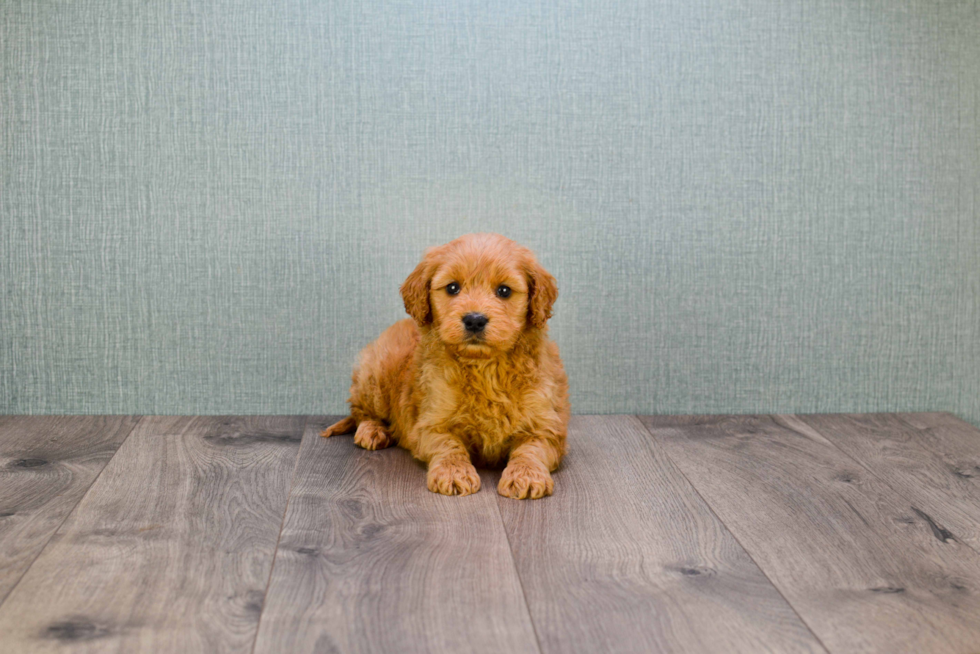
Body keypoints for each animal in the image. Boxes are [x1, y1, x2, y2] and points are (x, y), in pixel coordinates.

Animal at [322, 233, 572, 500]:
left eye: (504, 291)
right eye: (452, 288)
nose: (475, 319)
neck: (484, 368)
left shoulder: (547, 426)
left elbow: (531, 449)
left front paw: (525, 475)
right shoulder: (431, 422)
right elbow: (449, 445)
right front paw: (454, 473)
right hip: (375, 376)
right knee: (360, 410)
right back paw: (372, 431)